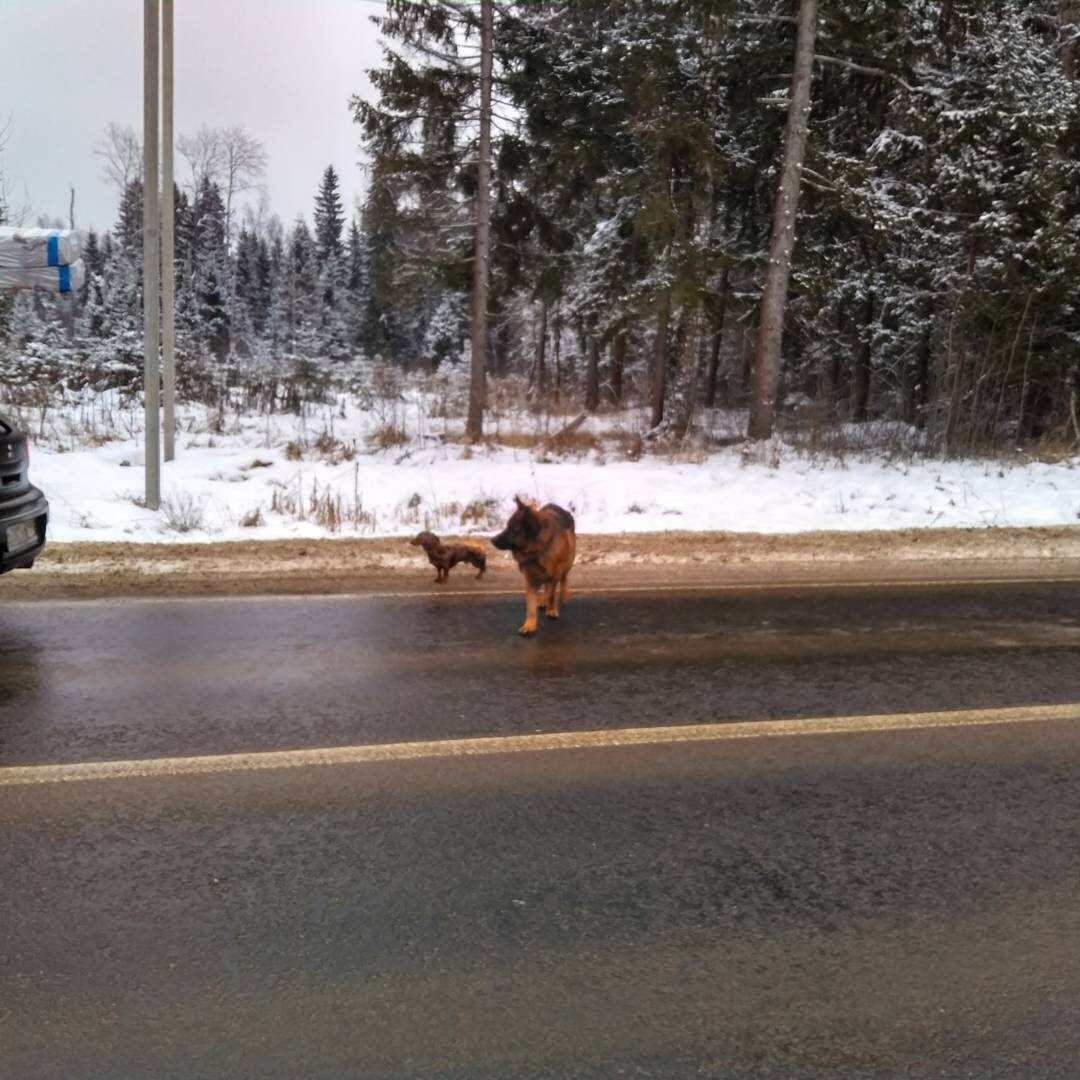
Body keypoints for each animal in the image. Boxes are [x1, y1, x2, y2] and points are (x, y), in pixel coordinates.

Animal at [492, 494, 578, 635]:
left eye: (511, 528)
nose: (491, 540)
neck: (538, 549)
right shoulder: (531, 580)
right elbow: (531, 606)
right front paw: (529, 625)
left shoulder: (554, 575)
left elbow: (552, 594)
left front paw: (552, 610)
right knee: (547, 587)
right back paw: (543, 600)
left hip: (567, 565)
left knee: (563, 580)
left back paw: (562, 596)